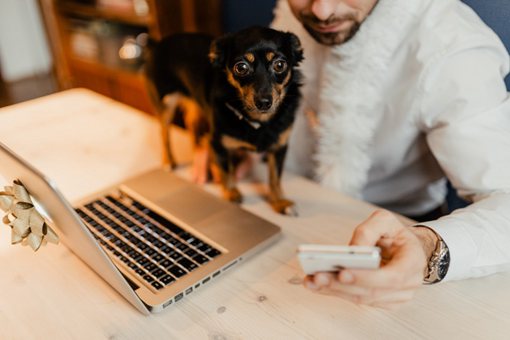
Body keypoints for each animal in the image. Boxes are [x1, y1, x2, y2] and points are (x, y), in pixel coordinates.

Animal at [143, 27, 302, 216]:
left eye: (279, 65)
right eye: (241, 67)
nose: (264, 102)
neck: (258, 121)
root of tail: (157, 44)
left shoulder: (279, 147)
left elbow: (275, 178)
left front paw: (280, 202)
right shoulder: (218, 142)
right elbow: (228, 170)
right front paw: (232, 193)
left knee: (194, 129)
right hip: (166, 103)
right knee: (164, 133)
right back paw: (169, 161)